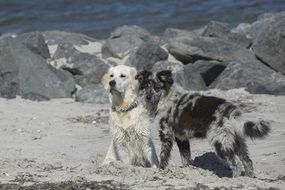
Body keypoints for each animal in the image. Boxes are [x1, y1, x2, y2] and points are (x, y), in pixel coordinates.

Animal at [135, 70, 270, 177]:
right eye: (146, 86)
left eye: (157, 88)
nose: (147, 97)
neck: (166, 99)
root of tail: (230, 110)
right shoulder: (182, 138)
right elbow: (186, 159)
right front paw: (188, 171)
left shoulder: (166, 134)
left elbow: (163, 156)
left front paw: (161, 170)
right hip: (237, 141)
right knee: (247, 162)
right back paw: (248, 178)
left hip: (221, 142)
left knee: (235, 165)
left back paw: (231, 179)